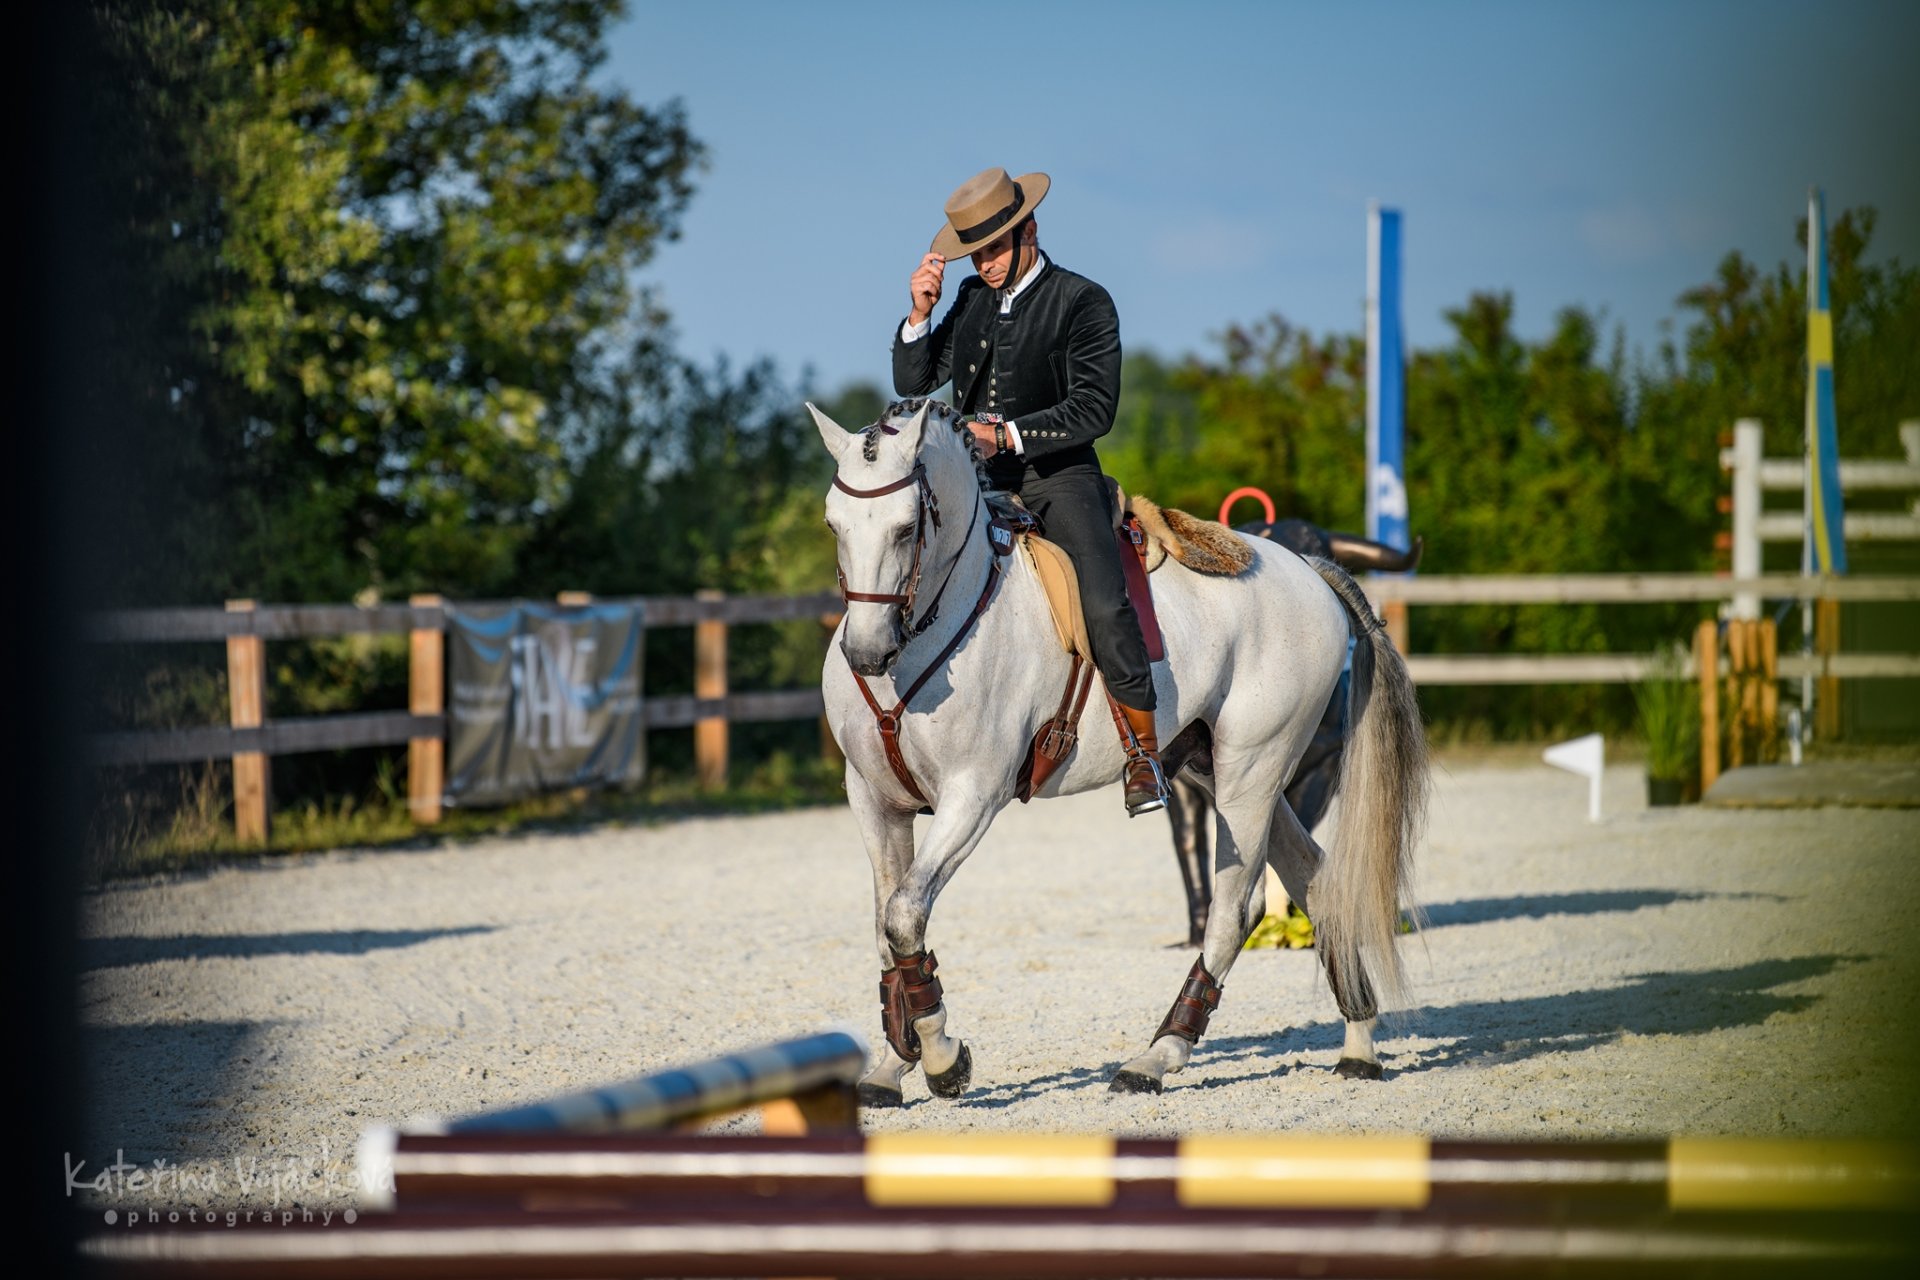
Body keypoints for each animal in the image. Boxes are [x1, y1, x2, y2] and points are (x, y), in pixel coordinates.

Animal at [810, 401, 1428, 1105]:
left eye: (906, 527)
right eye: (833, 523)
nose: (866, 653)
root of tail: (1307, 568)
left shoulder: (972, 797)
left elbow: (905, 915)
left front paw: (942, 1058)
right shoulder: (874, 800)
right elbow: (886, 928)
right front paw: (894, 1061)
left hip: (1255, 770)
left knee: (1236, 908)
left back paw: (1157, 1056)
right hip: (1218, 770)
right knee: (1318, 883)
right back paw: (1358, 1046)